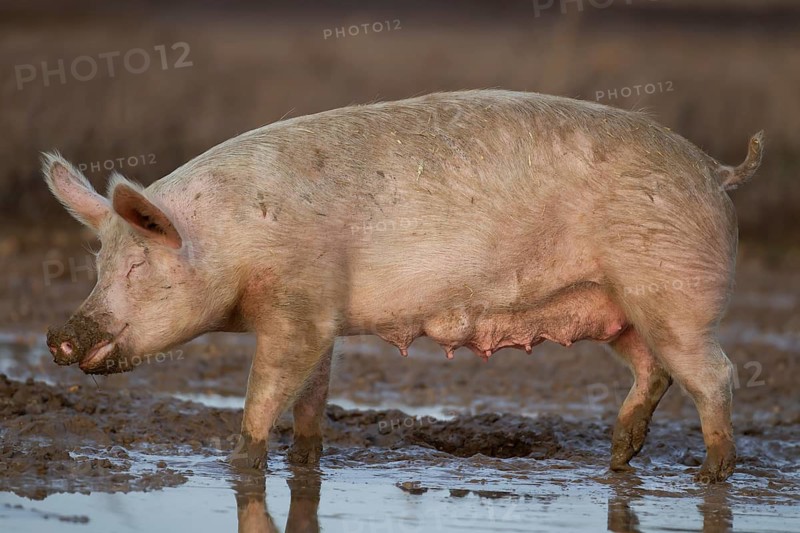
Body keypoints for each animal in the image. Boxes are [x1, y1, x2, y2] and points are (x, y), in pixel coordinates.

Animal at [43, 90, 763, 483]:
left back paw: (709, 473)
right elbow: (311, 398)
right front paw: (306, 462)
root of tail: (716, 169)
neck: (234, 239)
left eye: (138, 268)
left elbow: (265, 394)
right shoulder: (322, 315)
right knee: (654, 370)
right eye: (99, 265)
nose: (58, 336)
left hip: (672, 292)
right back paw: (616, 462)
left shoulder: (298, 308)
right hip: (619, 308)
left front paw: (240, 463)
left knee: (716, 374)